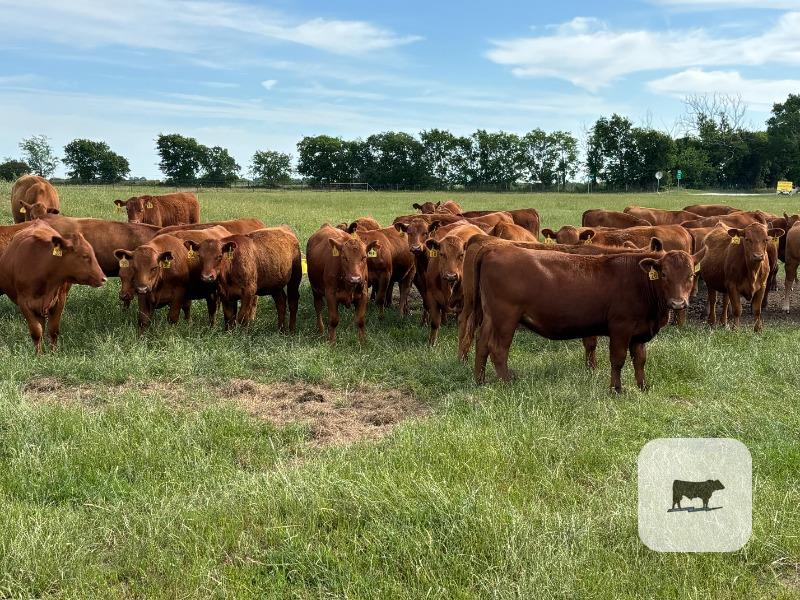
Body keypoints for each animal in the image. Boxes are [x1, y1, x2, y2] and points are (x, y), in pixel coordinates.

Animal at [0, 221, 105, 352]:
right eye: (85, 256)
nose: (103, 278)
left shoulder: (60, 300)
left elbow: (53, 330)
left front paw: (53, 353)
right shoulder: (24, 303)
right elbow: (36, 331)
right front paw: (38, 354)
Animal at [459, 240, 704, 391]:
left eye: (691, 275)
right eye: (664, 274)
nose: (678, 303)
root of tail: (493, 248)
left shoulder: (639, 331)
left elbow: (640, 359)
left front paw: (643, 387)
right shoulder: (620, 327)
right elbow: (617, 359)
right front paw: (616, 389)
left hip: (491, 317)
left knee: (481, 345)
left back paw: (480, 381)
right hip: (505, 317)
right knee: (498, 349)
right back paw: (507, 383)